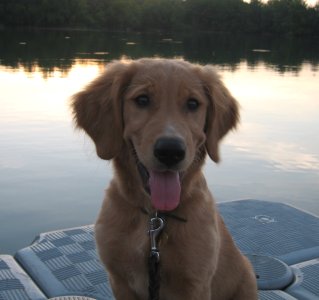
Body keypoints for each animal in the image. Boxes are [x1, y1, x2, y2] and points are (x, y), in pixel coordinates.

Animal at [72, 57, 258, 298]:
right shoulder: (118, 280)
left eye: (192, 104)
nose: (170, 151)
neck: (155, 219)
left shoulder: (196, 284)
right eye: (142, 99)